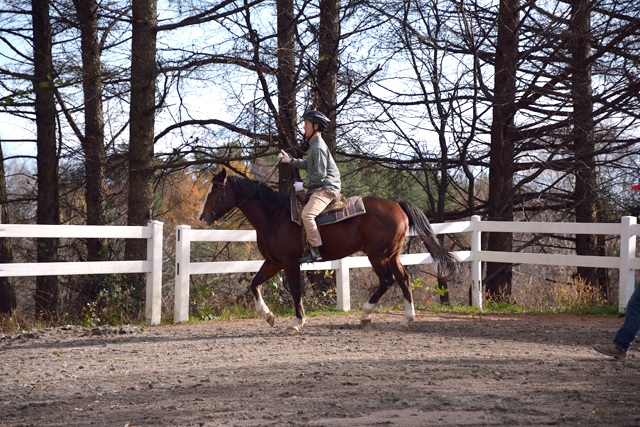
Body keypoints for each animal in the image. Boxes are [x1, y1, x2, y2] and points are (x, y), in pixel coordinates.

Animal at [198, 168, 462, 334]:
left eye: (215, 190)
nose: (202, 216)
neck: (274, 216)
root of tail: (397, 203)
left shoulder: (290, 262)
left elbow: (295, 290)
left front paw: (297, 322)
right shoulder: (273, 262)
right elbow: (254, 284)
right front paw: (268, 316)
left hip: (377, 255)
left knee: (387, 280)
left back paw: (365, 314)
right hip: (392, 255)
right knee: (404, 279)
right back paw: (406, 319)